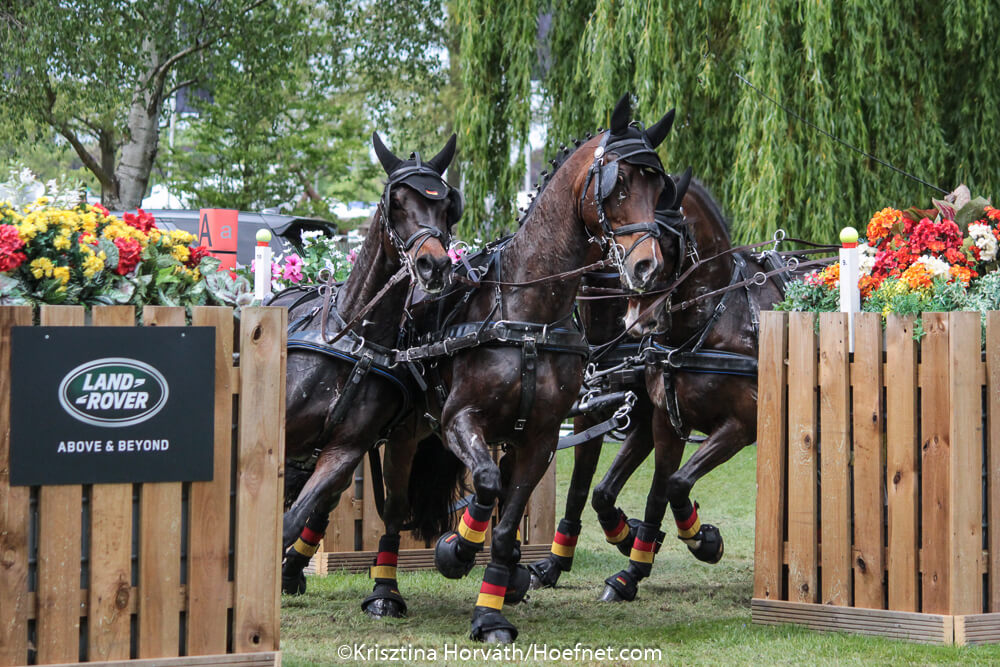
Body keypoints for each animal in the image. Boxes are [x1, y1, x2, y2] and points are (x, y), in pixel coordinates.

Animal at [273, 131, 462, 595]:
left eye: (446, 206)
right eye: (396, 201)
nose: (434, 265)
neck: (355, 338)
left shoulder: (345, 449)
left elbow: (293, 518)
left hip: (399, 441)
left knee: (377, 507)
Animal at [363, 94, 677, 642]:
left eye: (660, 187)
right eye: (618, 185)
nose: (649, 268)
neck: (528, 314)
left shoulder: (541, 437)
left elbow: (509, 516)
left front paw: (491, 607)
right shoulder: (458, 421)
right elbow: (486, 485)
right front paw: (458, 548)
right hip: (406, 434)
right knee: (396, 509)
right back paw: (385, 590)